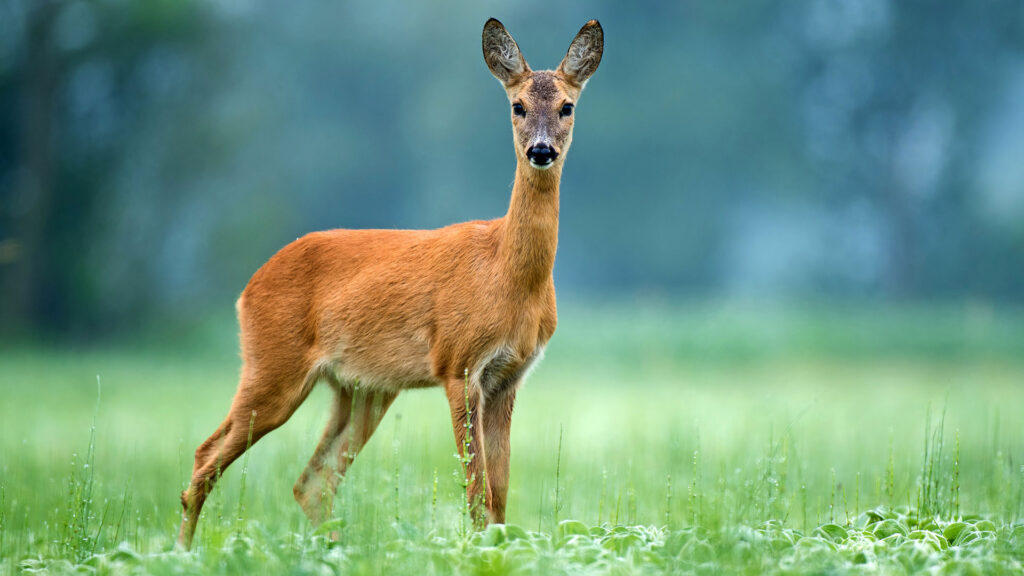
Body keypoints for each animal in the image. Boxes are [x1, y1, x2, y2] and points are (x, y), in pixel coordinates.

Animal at [177, 17, 602, 545]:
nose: (541, 151)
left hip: (361, 388)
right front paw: (476, 550)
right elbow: (477, 490)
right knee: (206, 458)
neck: (506, 274)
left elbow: (500, 495)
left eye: (567, 106)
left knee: (311, 481)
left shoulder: (509, 377)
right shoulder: (458, 364)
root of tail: (247, 289)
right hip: (272, 366)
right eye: (517, 105)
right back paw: (182, 551)